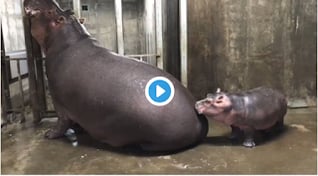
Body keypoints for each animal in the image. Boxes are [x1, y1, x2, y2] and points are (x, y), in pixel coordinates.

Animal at [23, 0, 207, 151]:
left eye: (50, 12)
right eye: (68, 11)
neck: (69, 40)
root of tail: (199, 116)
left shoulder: (58, 99)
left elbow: (61, 122)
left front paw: (49, 134)